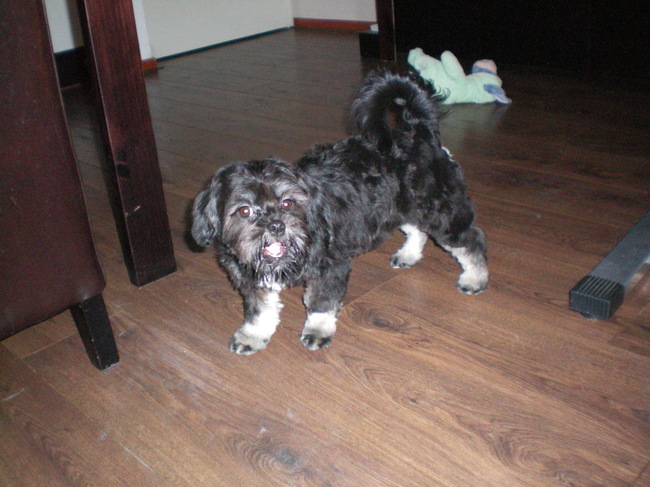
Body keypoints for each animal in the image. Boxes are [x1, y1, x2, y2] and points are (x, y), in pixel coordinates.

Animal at [191, 70, 488, 355]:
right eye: (244, 211)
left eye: (287, 203)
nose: (276, 225)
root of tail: (420, 133)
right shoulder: (252, 282)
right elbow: (259, 313)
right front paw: (252, 337)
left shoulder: (330, 267)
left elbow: (321, 304)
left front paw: (317, 332)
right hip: (402, 207)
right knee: (417, 230)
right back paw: (409, 254)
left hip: (441, 214)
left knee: (472, 241)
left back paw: (474, 278)